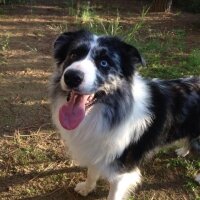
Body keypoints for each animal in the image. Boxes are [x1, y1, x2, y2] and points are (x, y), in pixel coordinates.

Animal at [49, 30, 200, 200]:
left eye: (104, 63)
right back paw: (183, 150)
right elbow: (92, 172)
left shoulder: (121, 172)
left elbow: (113, 194)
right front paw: (87, 188)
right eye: (73, 54)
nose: (72, 77)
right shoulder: (97, 153)